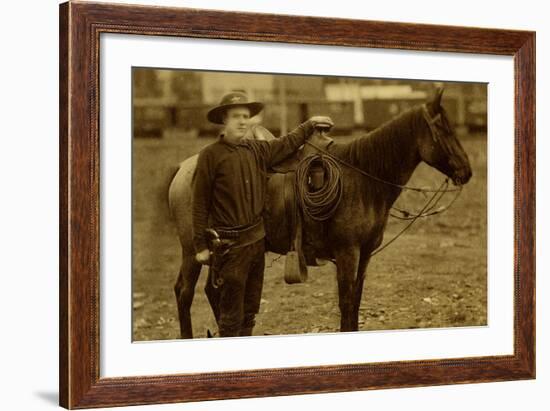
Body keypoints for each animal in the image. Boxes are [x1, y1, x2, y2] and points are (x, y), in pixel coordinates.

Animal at [169, 89, 474, 338]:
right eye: (444, 130)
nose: (467, 172)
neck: (362, 180)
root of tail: (184, 168)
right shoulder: (347, 252)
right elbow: (346, 301)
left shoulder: (365, 254)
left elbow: (355, 301)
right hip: (193, 252)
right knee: (185, 292)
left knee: (213, 291)